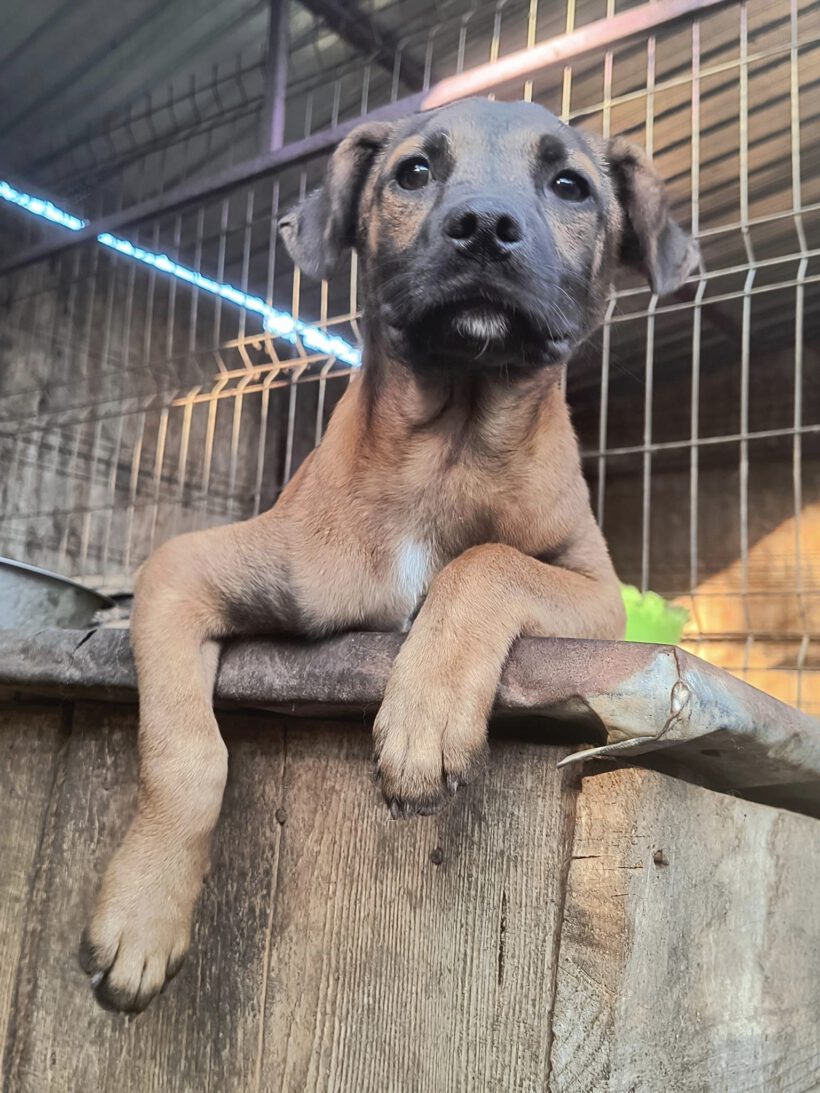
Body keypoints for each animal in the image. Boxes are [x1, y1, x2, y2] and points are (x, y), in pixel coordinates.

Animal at [78, 98, 699, 1009]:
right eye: (414, 171)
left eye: (569, 185)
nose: (484, 228)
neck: (448, 450)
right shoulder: (180, 570)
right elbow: (185, 753)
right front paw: (141, 917)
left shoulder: (597, 589)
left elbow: (487, 563)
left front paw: (424, 719)